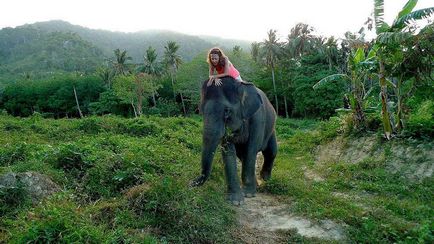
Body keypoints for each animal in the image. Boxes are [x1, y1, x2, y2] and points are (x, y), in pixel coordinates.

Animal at [191, 75, 278, 205]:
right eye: (201, 111)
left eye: (227, 111)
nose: (191, 183)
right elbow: (228, 152)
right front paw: (235, 201)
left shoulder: (257, 119)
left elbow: (251, 150)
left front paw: (248, 194)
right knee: (243, 156)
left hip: (271, 129)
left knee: (271, 152)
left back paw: (264, 179)